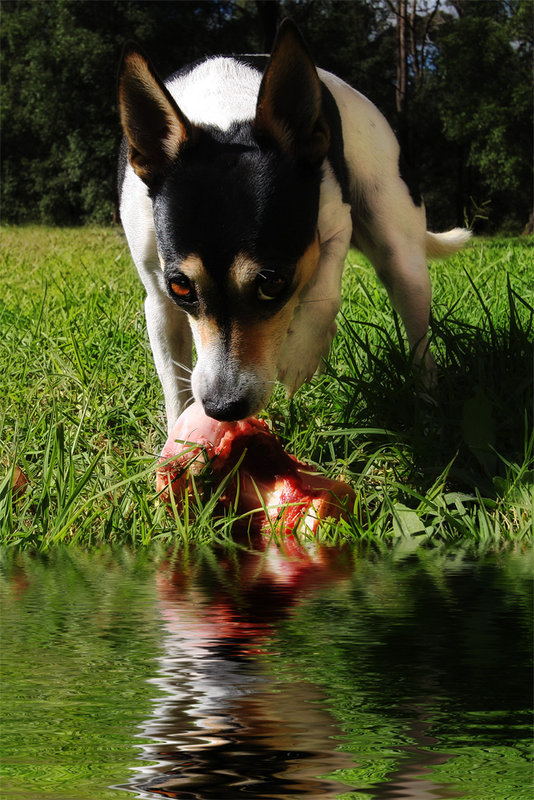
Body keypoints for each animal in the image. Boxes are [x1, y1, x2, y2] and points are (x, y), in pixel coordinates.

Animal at [119, 17, 472, 432]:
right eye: (181, 288)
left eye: (272, 282)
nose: (223, 407)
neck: (225, 118)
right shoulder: (159, 301)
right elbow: (174, 385)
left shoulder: (334, 226)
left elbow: (325, 293)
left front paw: (301, 353)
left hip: (401, 258)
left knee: (419, 343)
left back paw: (429, 414)